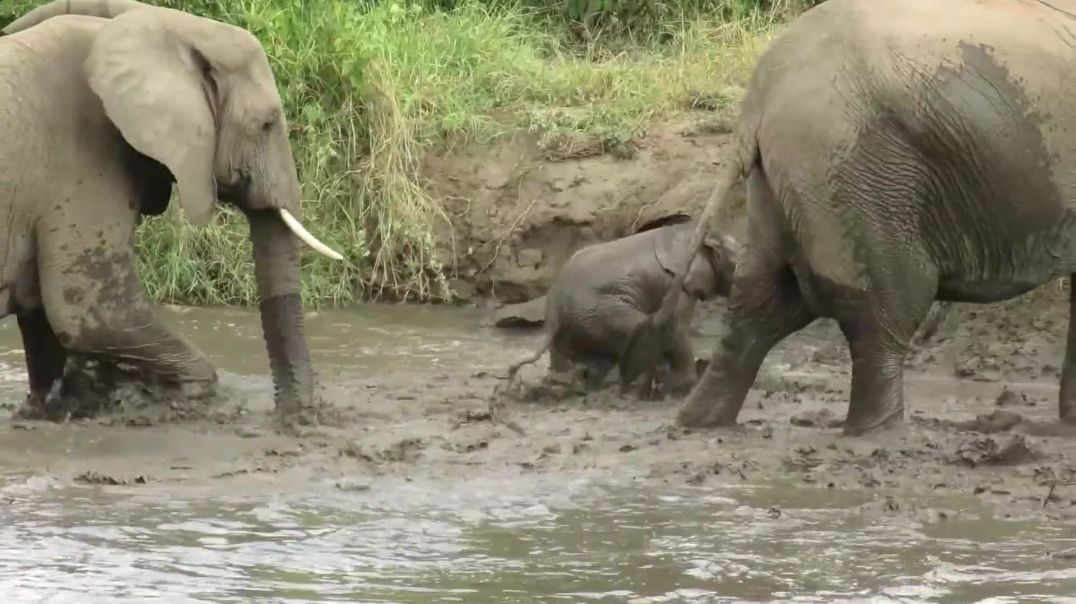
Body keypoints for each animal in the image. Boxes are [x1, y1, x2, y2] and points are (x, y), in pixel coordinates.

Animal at [0, 0, 342, 422]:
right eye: (266, 124)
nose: (295, 416)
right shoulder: (81, 158)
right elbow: (93, 310)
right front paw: (184, 394)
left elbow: (43, 315)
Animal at [624, 0, 1076, 432]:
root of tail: (758, 98)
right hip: (856, 170)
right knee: (886, 306)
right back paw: (874, 431)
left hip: (786, 180)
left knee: (760, 301)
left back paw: (697, 422)